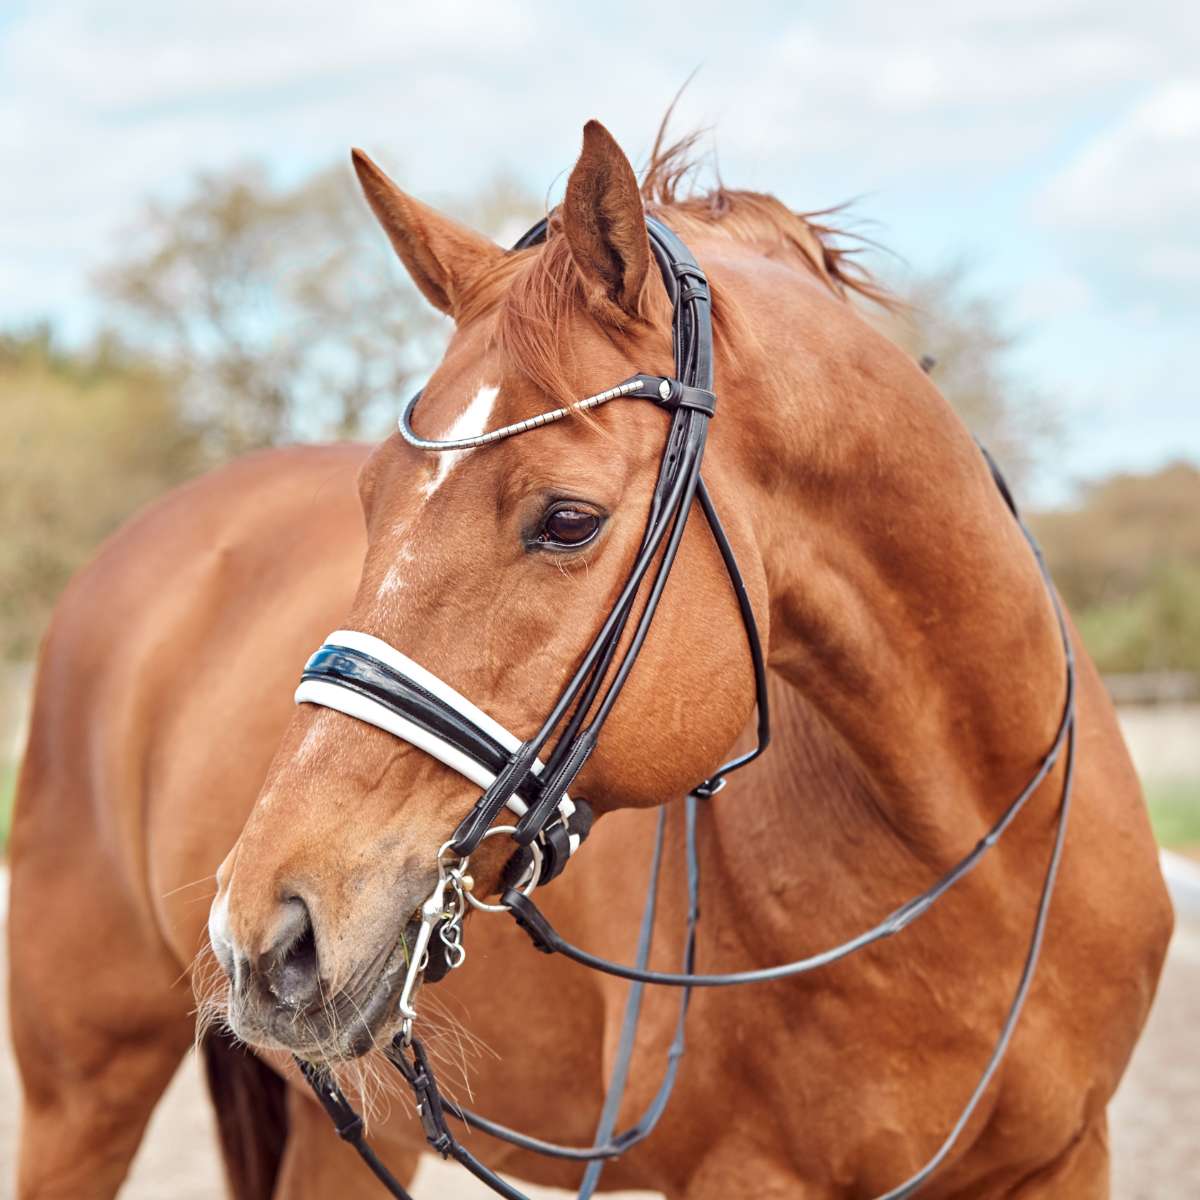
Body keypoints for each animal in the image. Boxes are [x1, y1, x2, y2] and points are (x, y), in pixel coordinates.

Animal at [7, 124, 1171, 1200]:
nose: (265, 932)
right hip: (84, 1086)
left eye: (568, 520)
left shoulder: (1068, 1160)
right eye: (369, 500)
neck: (969, 857)